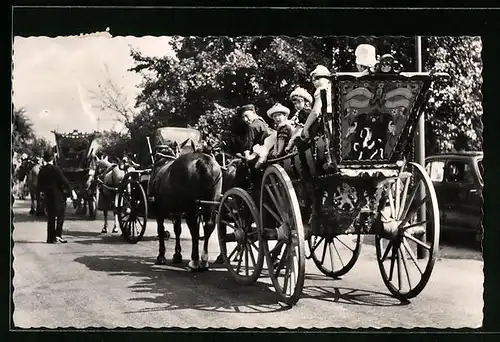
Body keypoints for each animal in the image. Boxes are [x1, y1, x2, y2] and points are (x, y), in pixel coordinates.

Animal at [151, 140, 224, 272]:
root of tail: (203, 161)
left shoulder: (158, 209)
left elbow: (161, 230)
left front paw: (161, 256)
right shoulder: (177, 211)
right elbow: (177, 230)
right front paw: (177, 255)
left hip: (191, 204)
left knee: (194, 228)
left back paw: (194, 261)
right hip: (212, 201)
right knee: (208, 225)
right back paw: (204, 260)